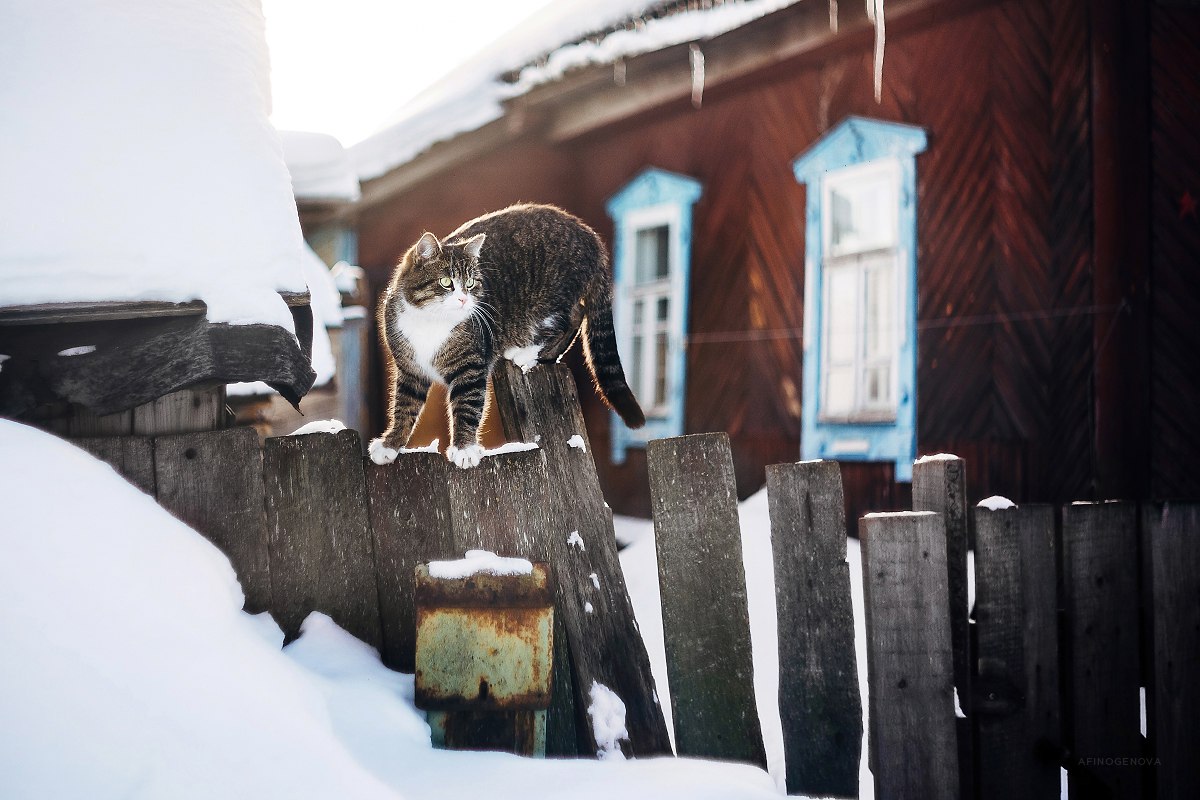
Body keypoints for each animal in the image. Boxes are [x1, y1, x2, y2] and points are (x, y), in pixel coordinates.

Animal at [369, 203, 648, 470]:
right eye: (446, 282)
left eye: (470, 283)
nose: (464, 300)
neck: (431, 322)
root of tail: (589, 235)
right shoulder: (410, 369)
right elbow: (404, 406)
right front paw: (391, 444)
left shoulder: (471, 366)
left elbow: (467, 405)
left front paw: (465, 449)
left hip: (550, 298)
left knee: (572, 316)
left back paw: (530, 354)